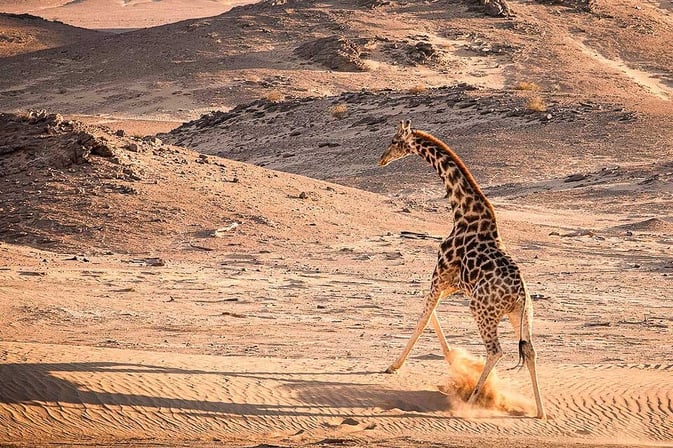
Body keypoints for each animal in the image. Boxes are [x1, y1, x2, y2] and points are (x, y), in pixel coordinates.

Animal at [379, 120, 546, 419]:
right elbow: (430, 312)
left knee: (496, 351)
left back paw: (471, 400)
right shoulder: (453, 283)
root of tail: (519, 295)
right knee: (530, 350)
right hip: (521, 315)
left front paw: (393, 365)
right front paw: (451, 358)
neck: (462, 211)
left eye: (395, 141)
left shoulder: (440, 273)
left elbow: (423, 317)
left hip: (481, 310)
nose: (382, 159)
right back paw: (540, 411)